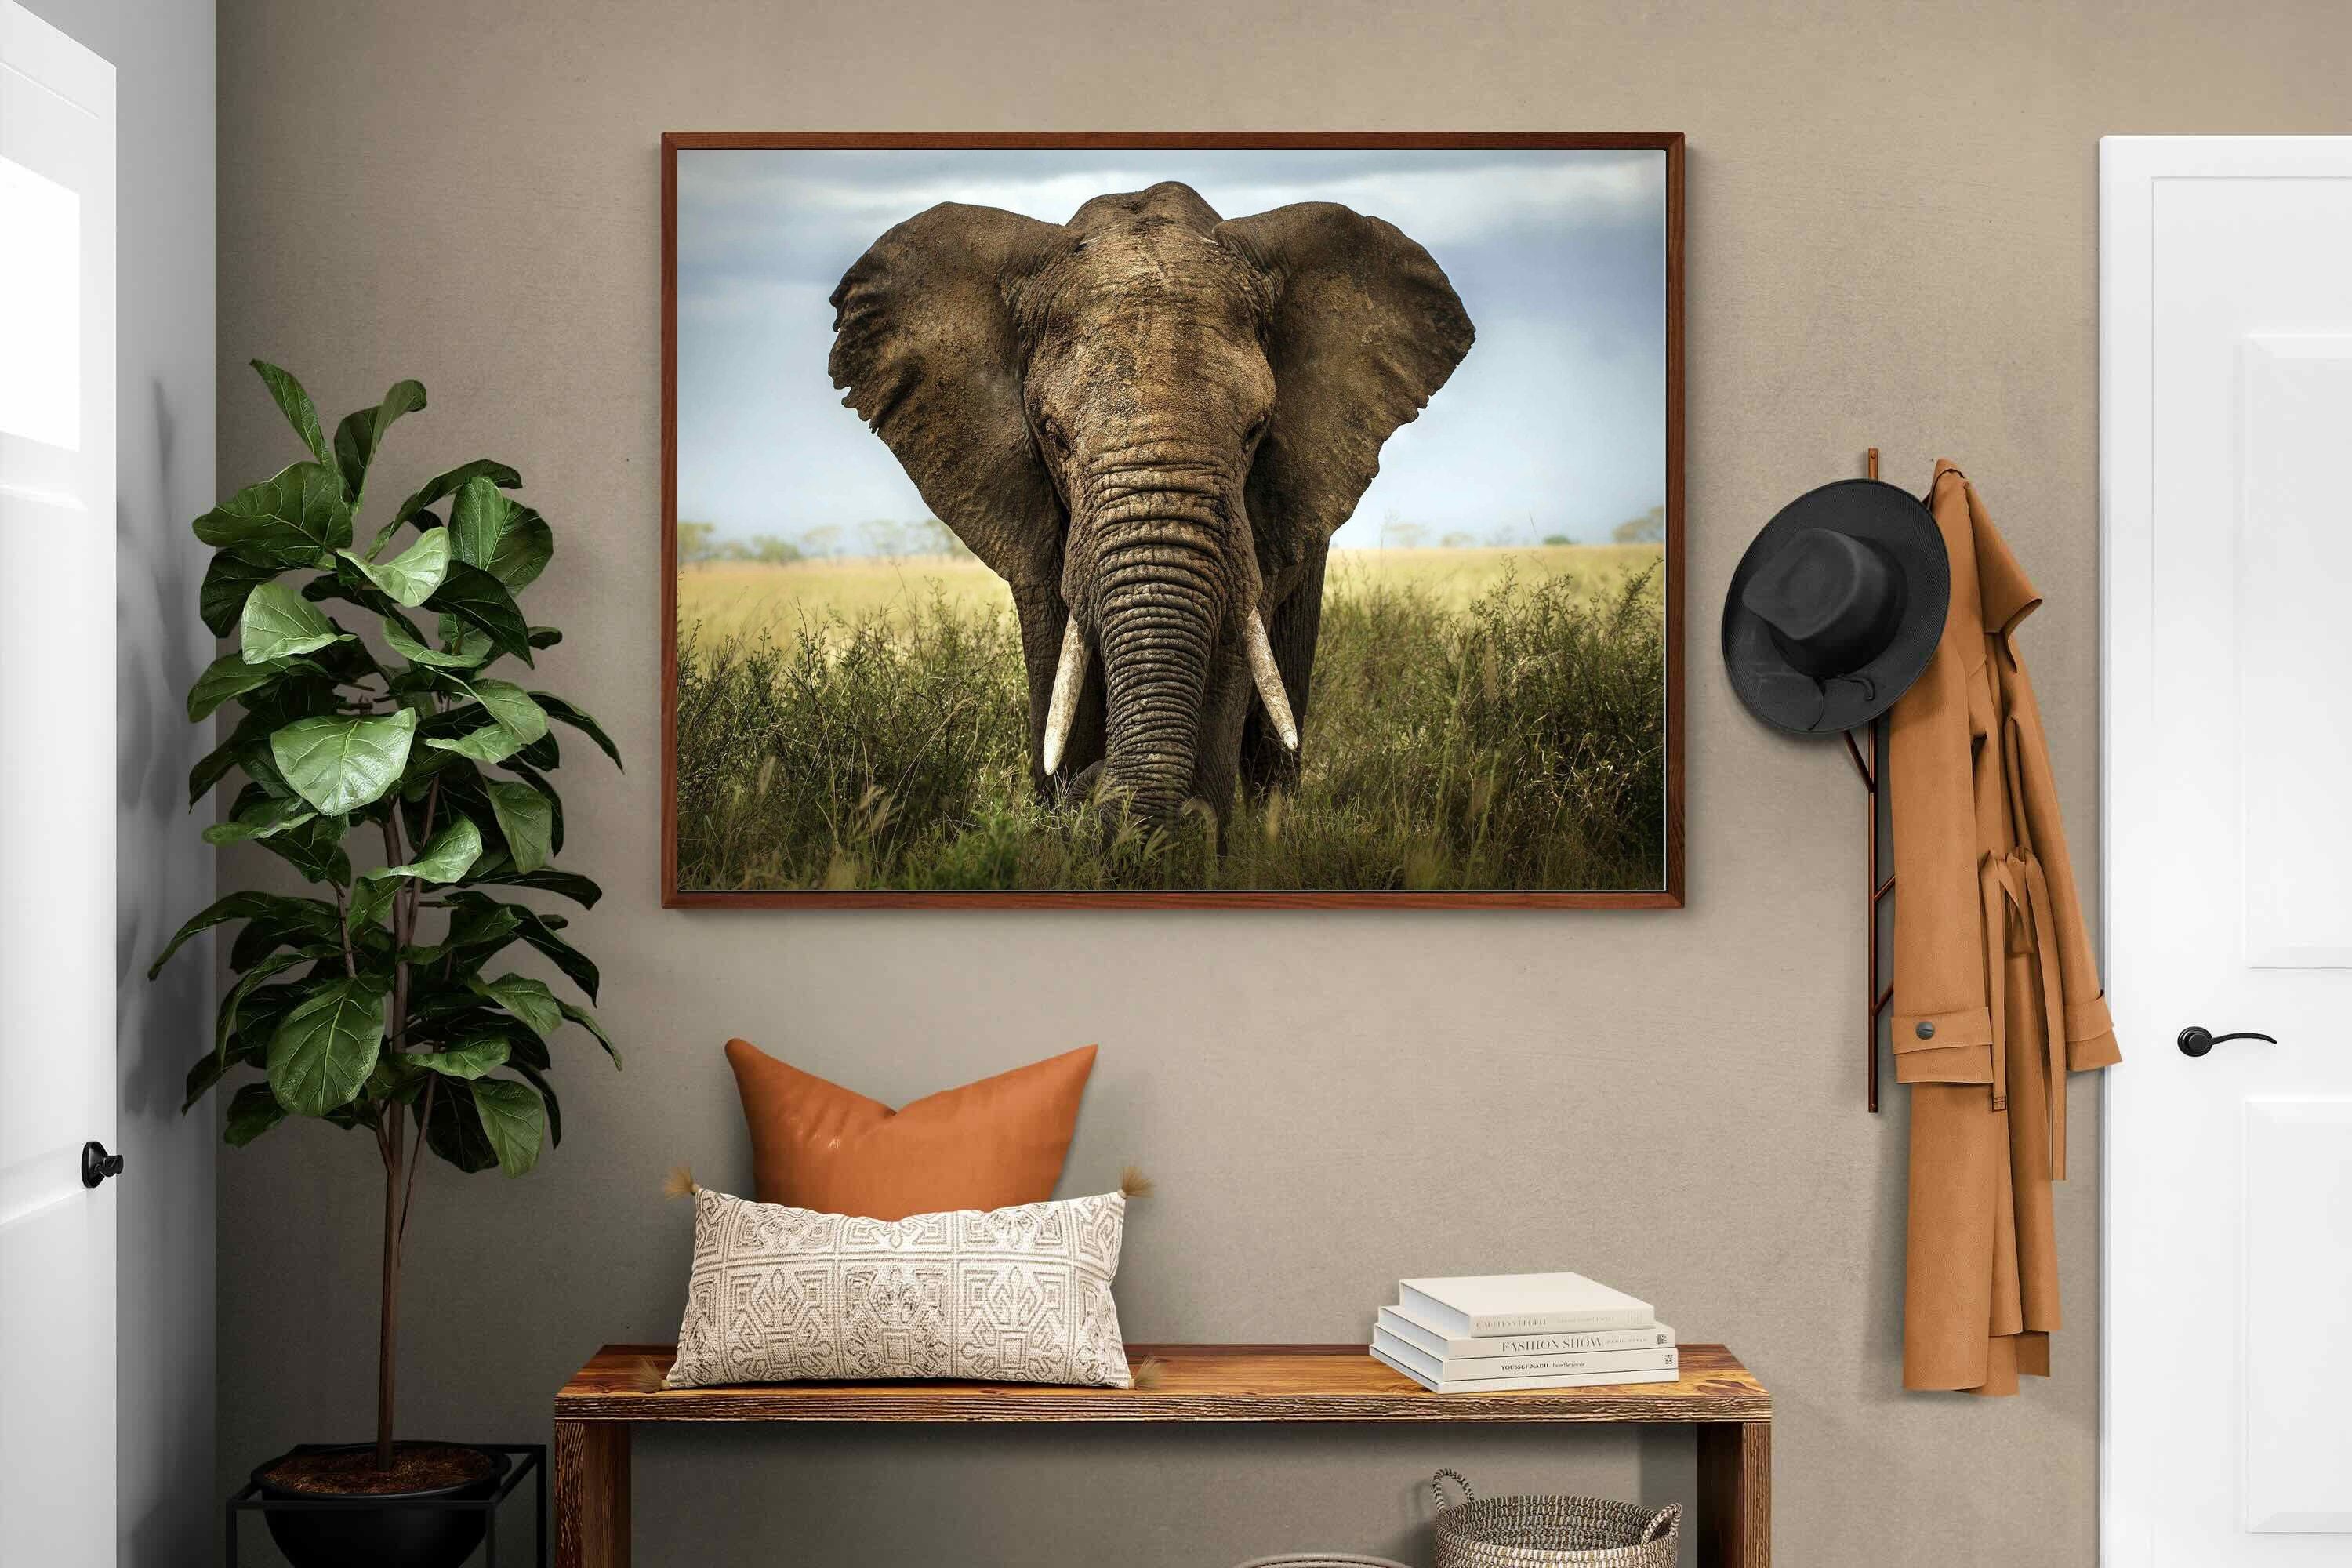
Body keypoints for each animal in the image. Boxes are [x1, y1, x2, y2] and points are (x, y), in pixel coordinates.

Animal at [827, 179, 1474, 823]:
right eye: (1054, 436)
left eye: (1255, 431)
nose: (1096, 787)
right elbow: (1058, 673)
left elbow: (1229, 662)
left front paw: (1190, 834)